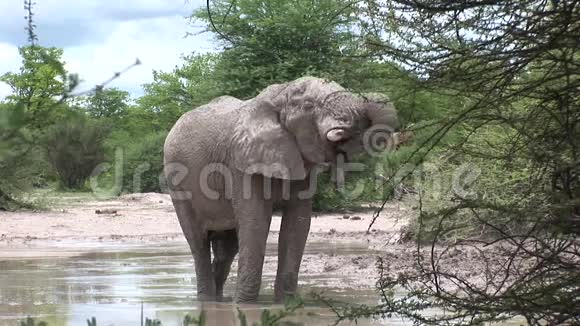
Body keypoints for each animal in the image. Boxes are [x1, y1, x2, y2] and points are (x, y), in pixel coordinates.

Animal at [163, 76, 398, 304]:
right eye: (308, 105)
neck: (277, 96)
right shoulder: (241, 162)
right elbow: (256, 221)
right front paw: (244, 305)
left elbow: (298, 223)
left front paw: (286, 304)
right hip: (178, 183)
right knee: (198, 242)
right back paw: (206, 300)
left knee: (227, 249)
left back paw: (219, 300)